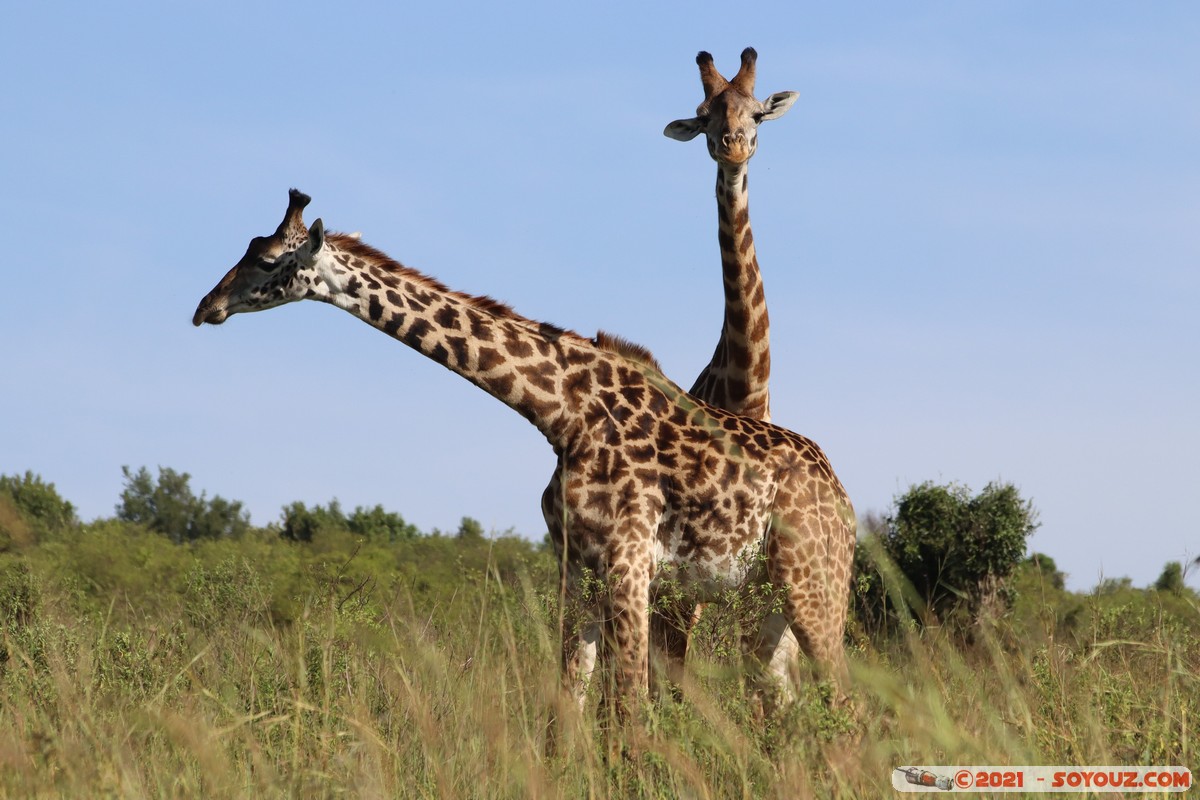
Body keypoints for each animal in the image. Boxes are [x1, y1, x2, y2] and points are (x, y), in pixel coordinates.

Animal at [192, 190, 859, 714]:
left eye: (266, 259)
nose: (206, 307)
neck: (560, 412)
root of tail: (843, 499)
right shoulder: (577, 567)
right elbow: (569, 708)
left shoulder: (629, 565)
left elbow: (630, 713)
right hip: (763, 603)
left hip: (813, 585)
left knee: (844, 704)